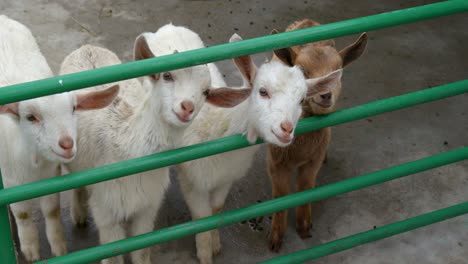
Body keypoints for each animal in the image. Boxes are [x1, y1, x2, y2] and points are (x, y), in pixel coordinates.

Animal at [0, 14, 118, 262]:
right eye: (30, 117)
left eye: (73, 108)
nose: (66, 143)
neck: (32, 162)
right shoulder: (10, 180)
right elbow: (23, 214)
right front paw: (30, 250)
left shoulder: (51, 175)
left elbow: (52, 210)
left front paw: (59, 246)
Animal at [60, 23, 250, 262]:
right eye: (167, 75)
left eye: (206, 92)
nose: (187, 107)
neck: (125, 146)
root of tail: (87, 47)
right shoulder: (106, 211)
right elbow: (113, 255)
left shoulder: (147, 207)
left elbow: (141, 252)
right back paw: (78, 215)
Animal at [177, 33, 342, 264]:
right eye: (262, 91)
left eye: (301, 99)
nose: (286, 129)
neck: (218, 130)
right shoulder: (191, 180)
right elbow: (202, 217)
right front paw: (205, 254)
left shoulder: (226, 178)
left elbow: (216, 210)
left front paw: (215, 244)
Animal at [266, 18, 368, 252]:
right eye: (302, 71)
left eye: (339, 70)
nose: (326, 94)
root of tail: (307, 22)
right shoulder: (276, 162)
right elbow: (280, 195)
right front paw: (276, 237)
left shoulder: (313, 160)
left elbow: (306, 187)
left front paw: (304, 226)